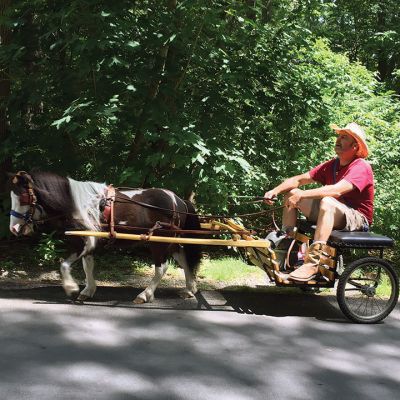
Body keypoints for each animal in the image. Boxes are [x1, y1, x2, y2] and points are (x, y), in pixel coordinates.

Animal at [8, 170, 203, 304]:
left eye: (24, 198)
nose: (14, 228)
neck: (77, 204)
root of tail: (180, 200)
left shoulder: (85, 241)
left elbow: (64, 265)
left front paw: (71, 288)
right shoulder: (88, 240)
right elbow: (87, 266)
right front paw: (87, 290)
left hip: (159, 242)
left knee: (161, 268)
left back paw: (145, 294)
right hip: (172, 240)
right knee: (183, 259)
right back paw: (190, 289)